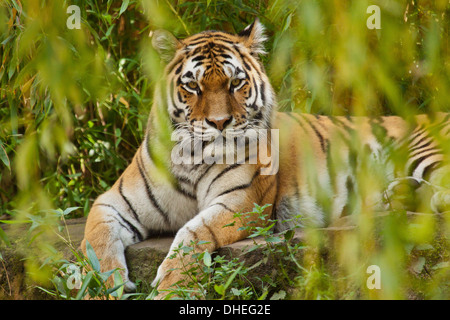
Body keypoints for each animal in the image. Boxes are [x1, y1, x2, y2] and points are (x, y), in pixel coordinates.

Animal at [81, 18, 450, 298]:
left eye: (235, 83)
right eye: (194, 87)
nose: (219, 123)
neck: (192, 157)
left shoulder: (242, 202)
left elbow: (191, 234)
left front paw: (172, 289)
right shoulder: (113, 201)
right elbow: (95, 242)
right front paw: (102, 288)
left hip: (421, 152)